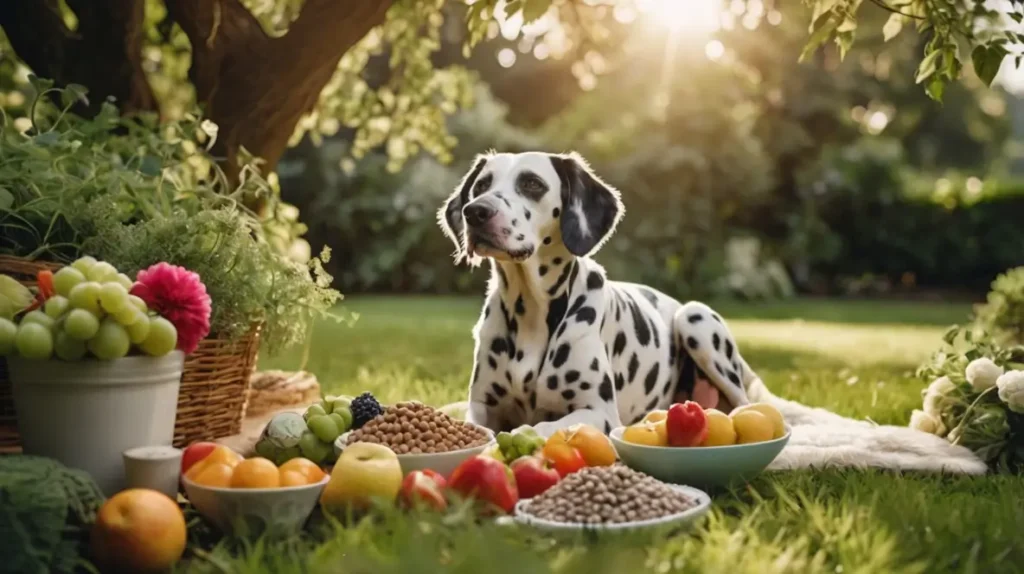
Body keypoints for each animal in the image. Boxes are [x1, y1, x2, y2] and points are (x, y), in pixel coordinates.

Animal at [440, 150, 761, 435]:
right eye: (482, 185)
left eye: (532, 184)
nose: (476, 211)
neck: (529, 311)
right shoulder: (481, 407)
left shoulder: (599, 413)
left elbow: (540, 427)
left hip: (695, 319)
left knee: (743, 406)